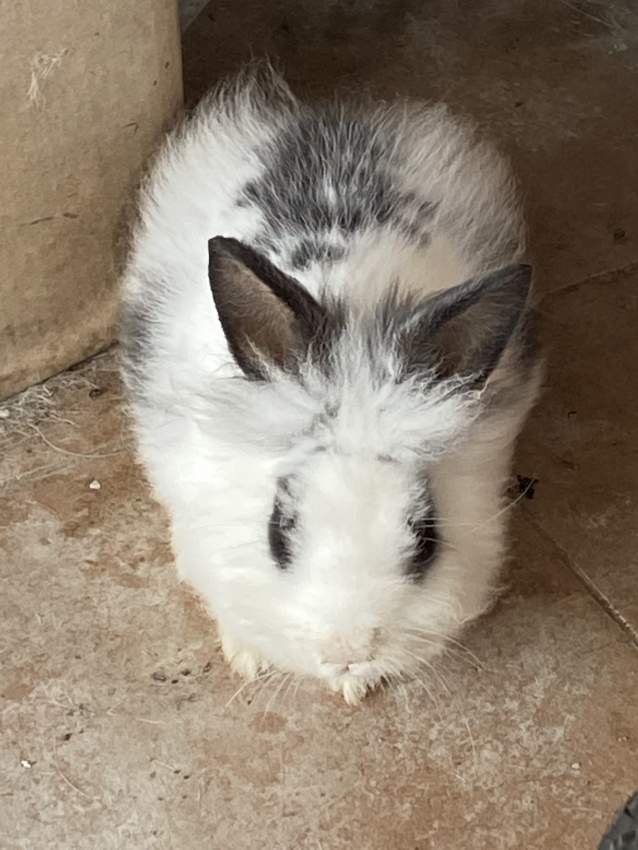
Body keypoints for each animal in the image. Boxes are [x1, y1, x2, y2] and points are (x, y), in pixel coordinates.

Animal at [120, 64, 541, 705]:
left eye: (426, 539)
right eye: (278, 533)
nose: (347, 653)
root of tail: (322, 116)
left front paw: (355, 689)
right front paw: (247, 658)